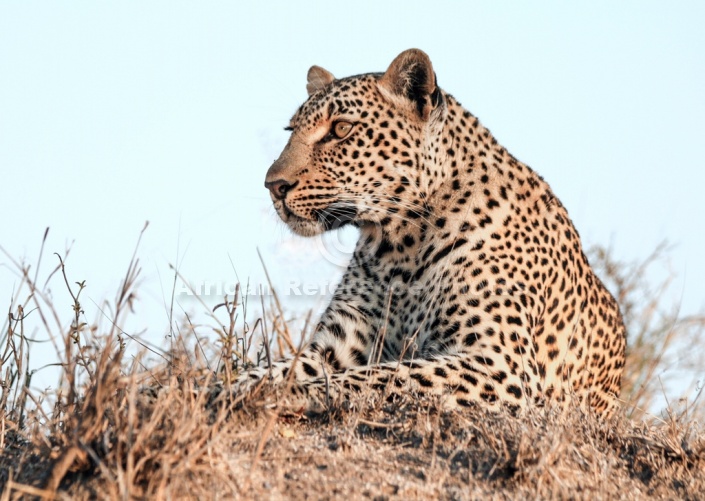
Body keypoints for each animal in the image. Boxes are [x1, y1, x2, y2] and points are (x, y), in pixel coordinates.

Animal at [239, 47, 624, 414]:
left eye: (341, 129)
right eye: (291, 131)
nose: (273, 185)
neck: (399, 248)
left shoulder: (498, 364)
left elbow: (380, 377)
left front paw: (280, 393)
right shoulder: (334, 345)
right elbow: (272, 368)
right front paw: (233, 384)